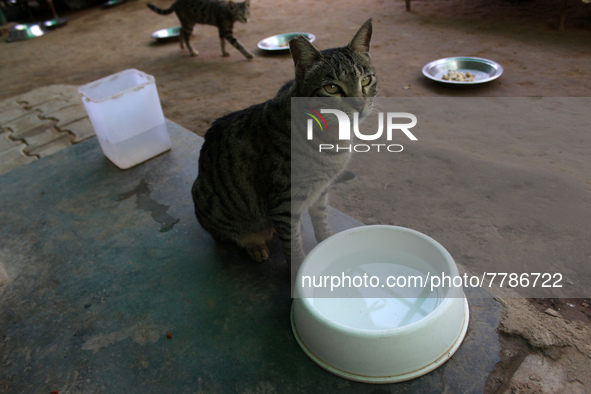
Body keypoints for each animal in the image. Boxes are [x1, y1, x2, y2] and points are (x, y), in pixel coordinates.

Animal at [194, 20, 380, 268]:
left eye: (366, 80)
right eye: (332, 88)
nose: (360, 106)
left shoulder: (321, 190)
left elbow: (321, 218)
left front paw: (327, 239)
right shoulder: (284, 204)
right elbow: (293, 246)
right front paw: (299, 269)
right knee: (229, 235)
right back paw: (254, 244)